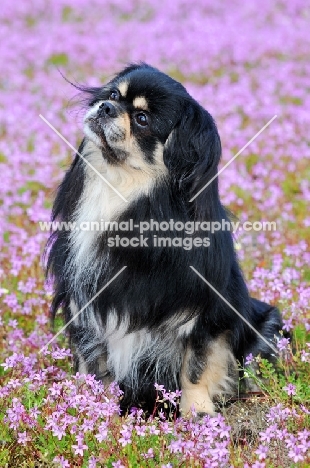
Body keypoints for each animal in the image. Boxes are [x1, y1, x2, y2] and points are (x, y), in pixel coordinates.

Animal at [46, 63, 284, 416]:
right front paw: (88, 404)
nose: (106, 107)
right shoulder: (84, 303)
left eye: (143, 119)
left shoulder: (203, 313)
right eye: (114, 94)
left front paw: (198, 412)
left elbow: (196, 366)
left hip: (268, 325)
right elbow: (92, 360)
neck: (120, 186)